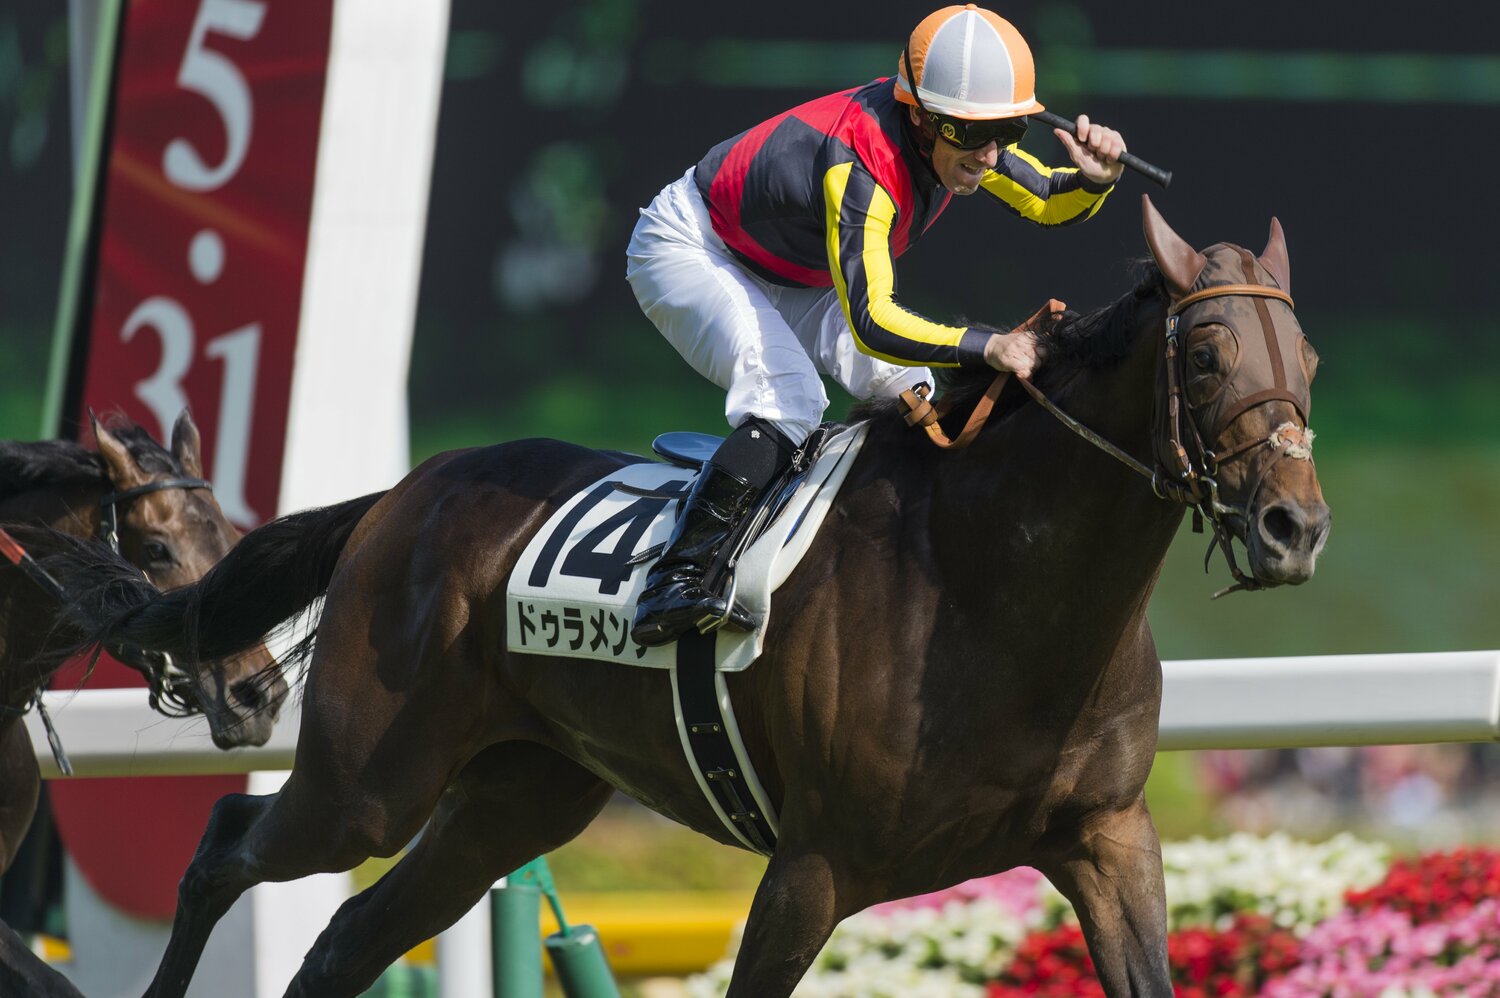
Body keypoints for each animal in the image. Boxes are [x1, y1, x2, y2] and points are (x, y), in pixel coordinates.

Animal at [39, 197, 1328, 997]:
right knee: (225, 843)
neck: (996, 591)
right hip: (367, 781)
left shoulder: (1108, 838)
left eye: (1307, 364)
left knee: (347, 938)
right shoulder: (814, 863)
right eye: (1204, 355)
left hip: (515, 795)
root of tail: (398, 494)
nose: (1295, 526)